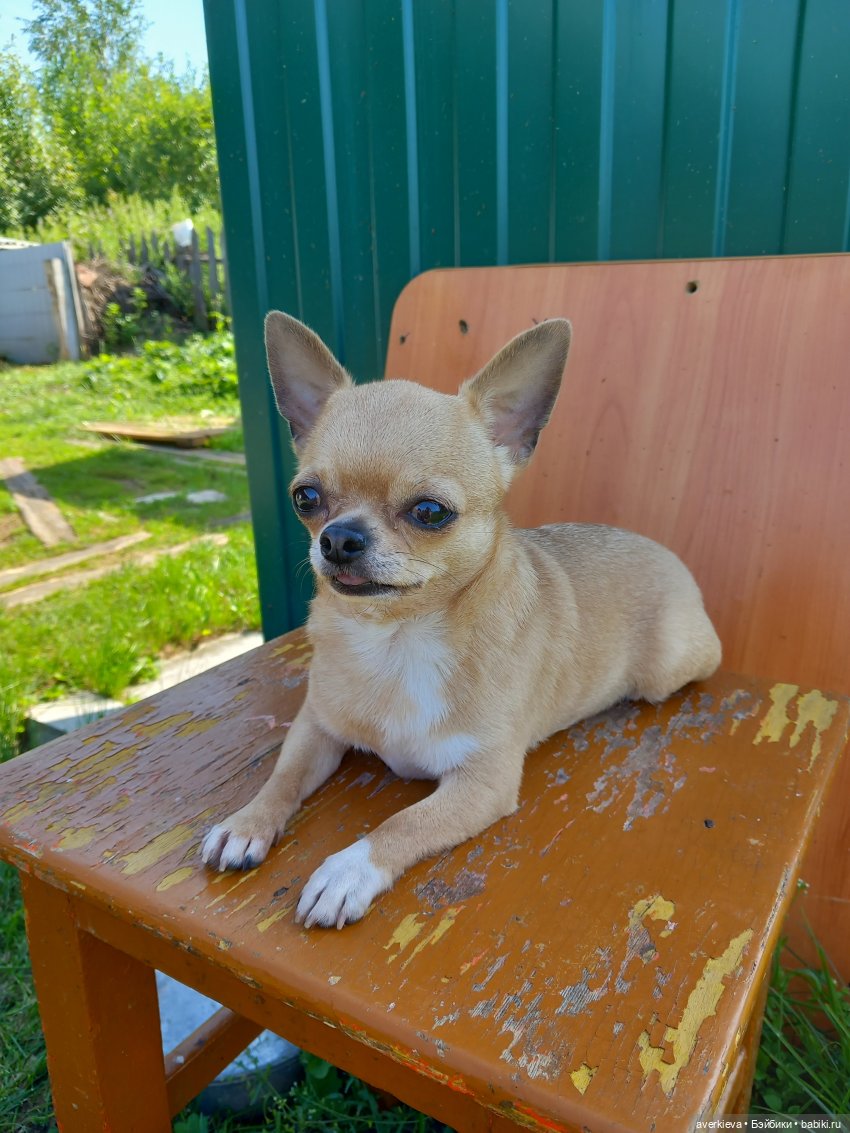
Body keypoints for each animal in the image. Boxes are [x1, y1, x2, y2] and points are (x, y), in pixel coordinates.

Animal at [201, 312, 721, 928]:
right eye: (305, 497)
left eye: (430, 512)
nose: (338, 538)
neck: (397, 639)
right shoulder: (317, 727)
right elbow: (282, 775)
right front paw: (247, 822)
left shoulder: (482, 784)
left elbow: (404, 822)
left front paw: (347, 870)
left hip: (666, 670)